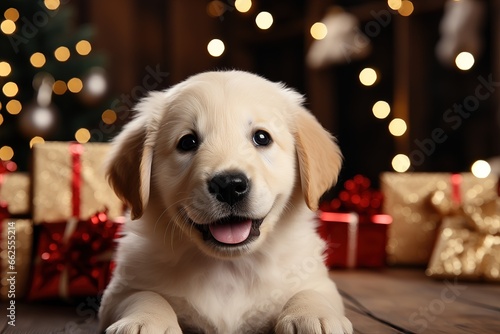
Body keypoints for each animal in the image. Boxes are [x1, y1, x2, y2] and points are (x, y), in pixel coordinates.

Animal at [98, 70, 352, 334]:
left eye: (262, 137)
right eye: (187, 142)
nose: (229, 185)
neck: (230, 266)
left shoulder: (316, 279)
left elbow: (311, 293)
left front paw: (312, 316)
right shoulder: (120, 290)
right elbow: (144, 295)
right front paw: (144, 321)